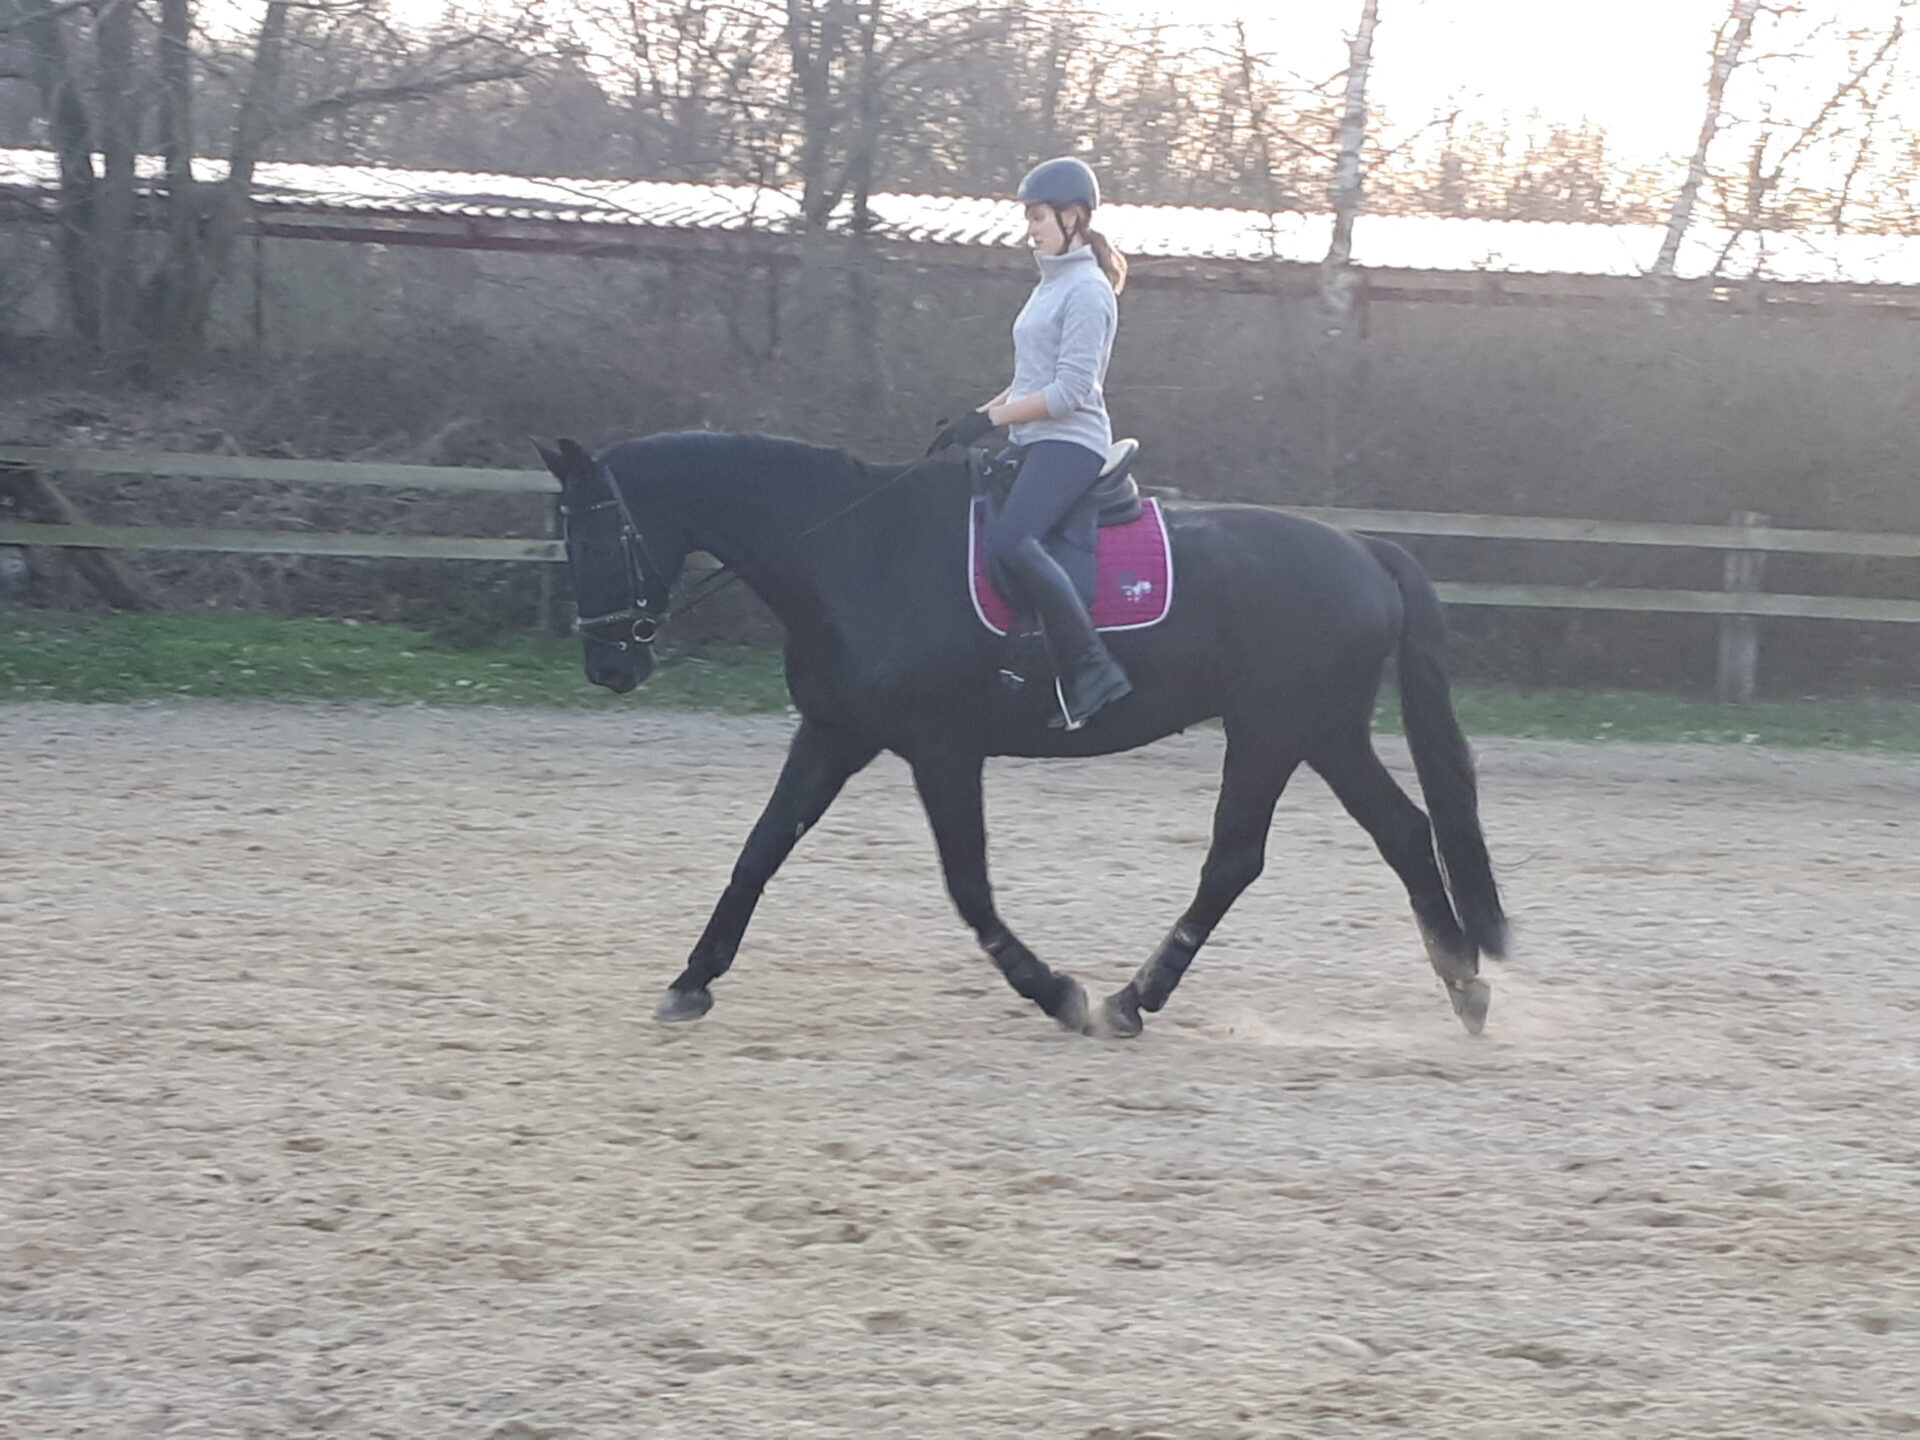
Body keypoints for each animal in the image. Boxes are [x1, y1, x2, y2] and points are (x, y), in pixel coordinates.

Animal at [533, 428, 1505, 1036]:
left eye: (596, 538)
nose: (609, 667)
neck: (858, 551)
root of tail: (1364, 551)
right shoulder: (836, 733)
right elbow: (761, 849)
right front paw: (689, 982)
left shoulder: (942, 750)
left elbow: (968, 886)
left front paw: (1056, 992)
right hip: (1324, 733)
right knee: (1405, 834)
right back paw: (1466, 990)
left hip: (1270, 731)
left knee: (1235, 860)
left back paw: (1128, 1000)